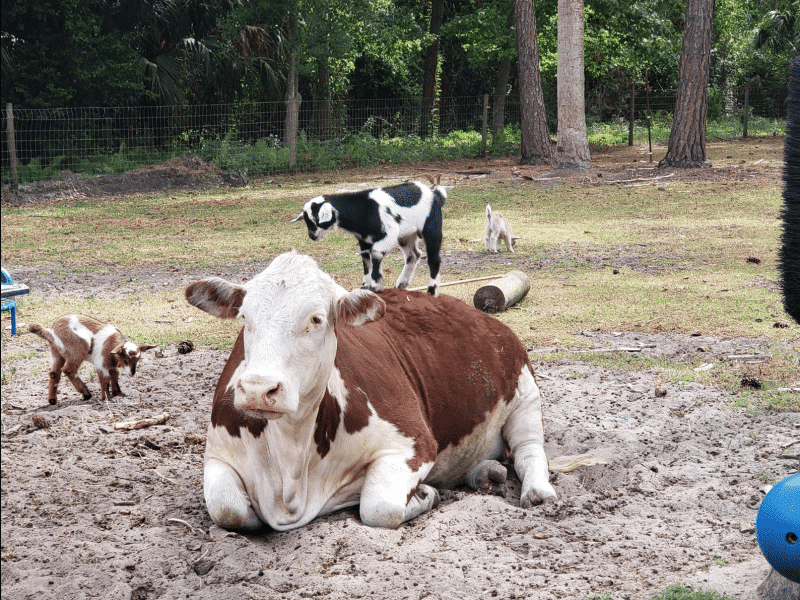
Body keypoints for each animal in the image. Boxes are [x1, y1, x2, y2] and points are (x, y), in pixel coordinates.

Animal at [185, 251, 571, 531]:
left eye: (316, 319)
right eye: (245, 318)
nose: (257, 389)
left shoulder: (414, 442)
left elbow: (379, 507)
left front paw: (424, 494)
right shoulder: (218, 453)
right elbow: (227, 509)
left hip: (525, 393)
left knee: (529, 449)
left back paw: (537, 491)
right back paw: (484, 474)